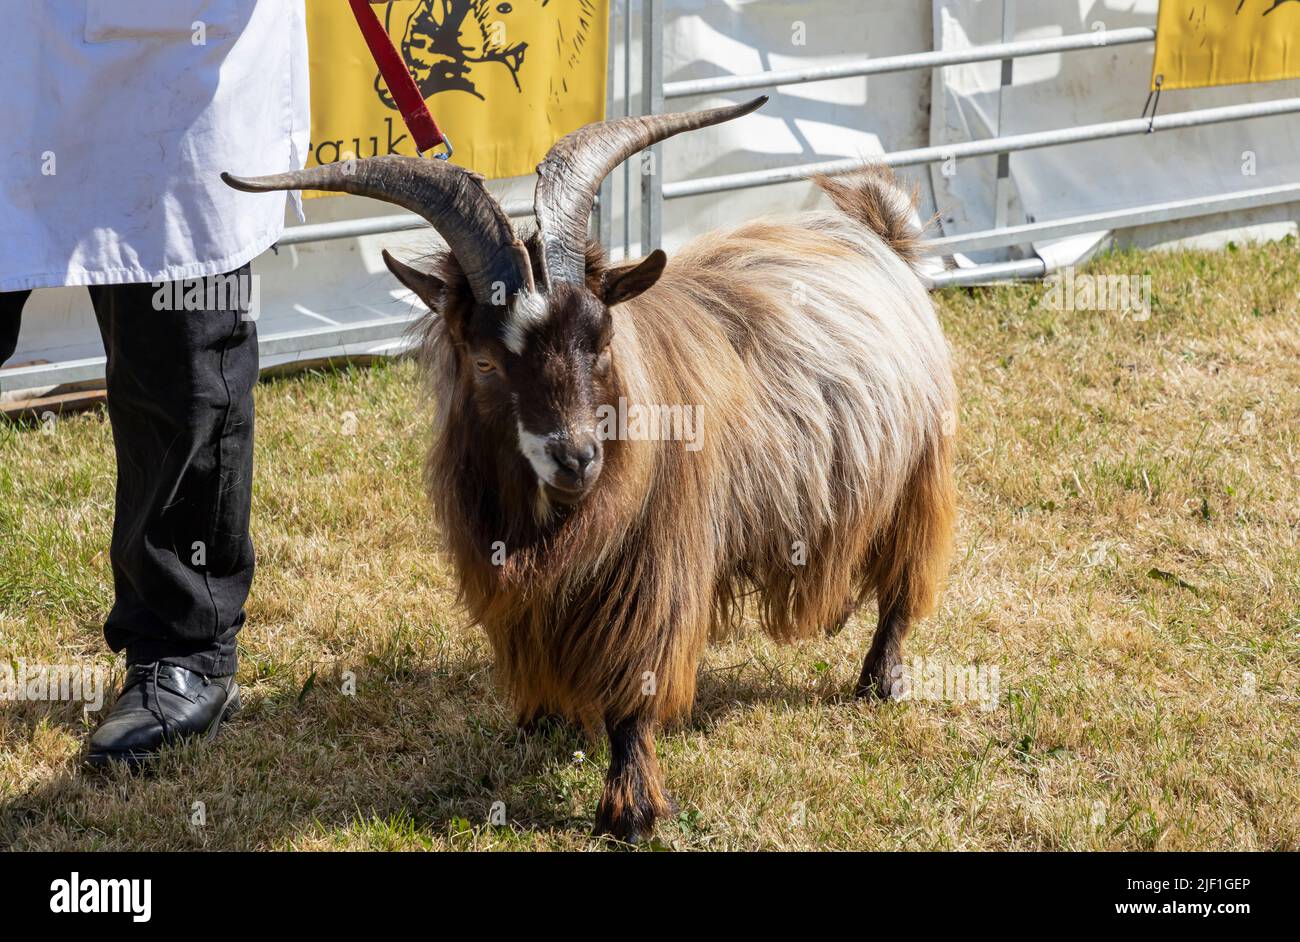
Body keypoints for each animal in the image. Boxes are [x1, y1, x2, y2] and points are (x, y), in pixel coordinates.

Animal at [223, 95, 957, 843]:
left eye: (600, 342)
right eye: (484, 361)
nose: (575, 457)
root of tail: (879, 238)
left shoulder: (653, 568)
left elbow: (634, 688)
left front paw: (630, 810)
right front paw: (543, 722)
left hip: (920, 473)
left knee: (904, 581)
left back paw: (881, 680)